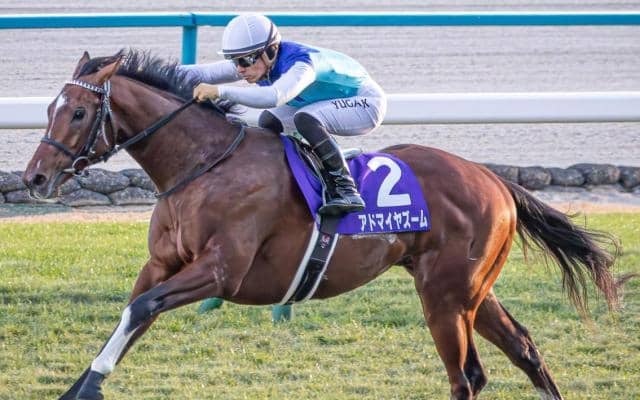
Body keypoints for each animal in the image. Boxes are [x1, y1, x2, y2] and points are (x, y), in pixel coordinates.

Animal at [23, 50, 619, 400]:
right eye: (49, 108)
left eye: (78, 113)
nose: (33, 178)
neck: (203, 163)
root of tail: (494, 179)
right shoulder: (162, 263)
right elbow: (132, 313)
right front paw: (83, 386)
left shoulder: (220, 272)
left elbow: (143, 309)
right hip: (471, 289)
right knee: (523, 349)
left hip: (446, 298)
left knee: (466, 376)